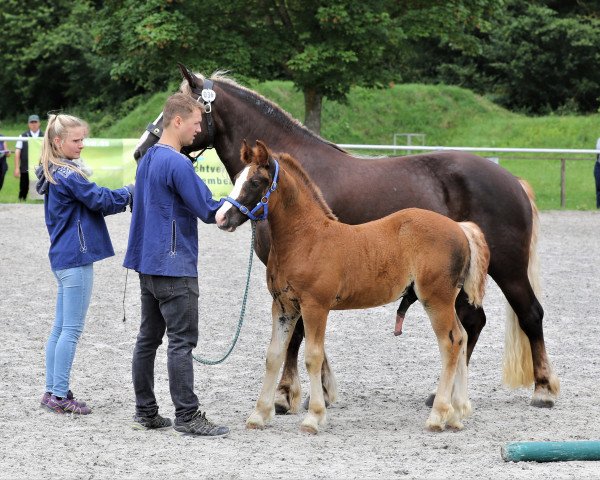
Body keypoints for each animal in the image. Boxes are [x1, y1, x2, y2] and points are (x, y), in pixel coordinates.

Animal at [216, 141, 492, 434]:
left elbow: (312, 356)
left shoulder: (315, 307)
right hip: (445, 301)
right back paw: (457, 413)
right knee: (462, 337)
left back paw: (439, 415)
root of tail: (460, 228)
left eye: (256, 182)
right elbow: (274, 355)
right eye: (237, 178)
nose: (221, 217)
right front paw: (259, 414)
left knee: (450, 343)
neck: (306, 238)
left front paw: (314, 417)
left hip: (436, 299)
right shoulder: (283, 307)